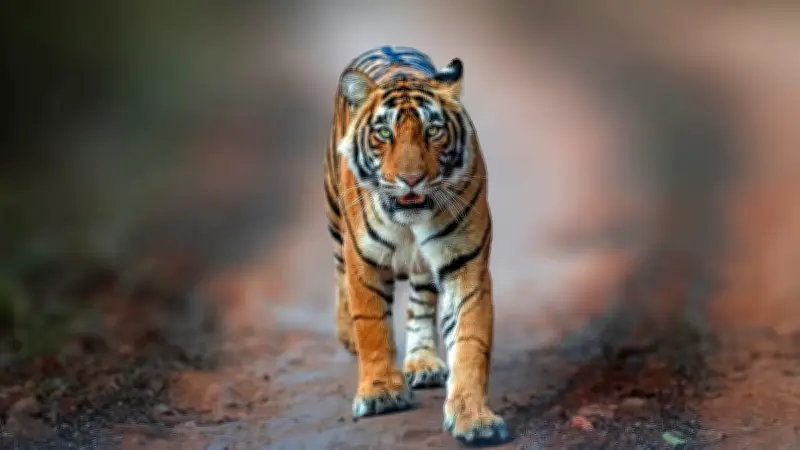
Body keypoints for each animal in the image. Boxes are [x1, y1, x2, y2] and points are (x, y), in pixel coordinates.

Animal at [323, 45, 508, 445]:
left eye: (433, 130)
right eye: (383, 133)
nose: (411, 179)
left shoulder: (465, 262)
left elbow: (470, 341)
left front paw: (474, 418)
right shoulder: (364, 260)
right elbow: (372, 325)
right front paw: (380, 392)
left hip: (425, 266)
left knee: (421, 304)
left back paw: (422, 362)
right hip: (334, 217)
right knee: (338, 275)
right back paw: (347, 335)